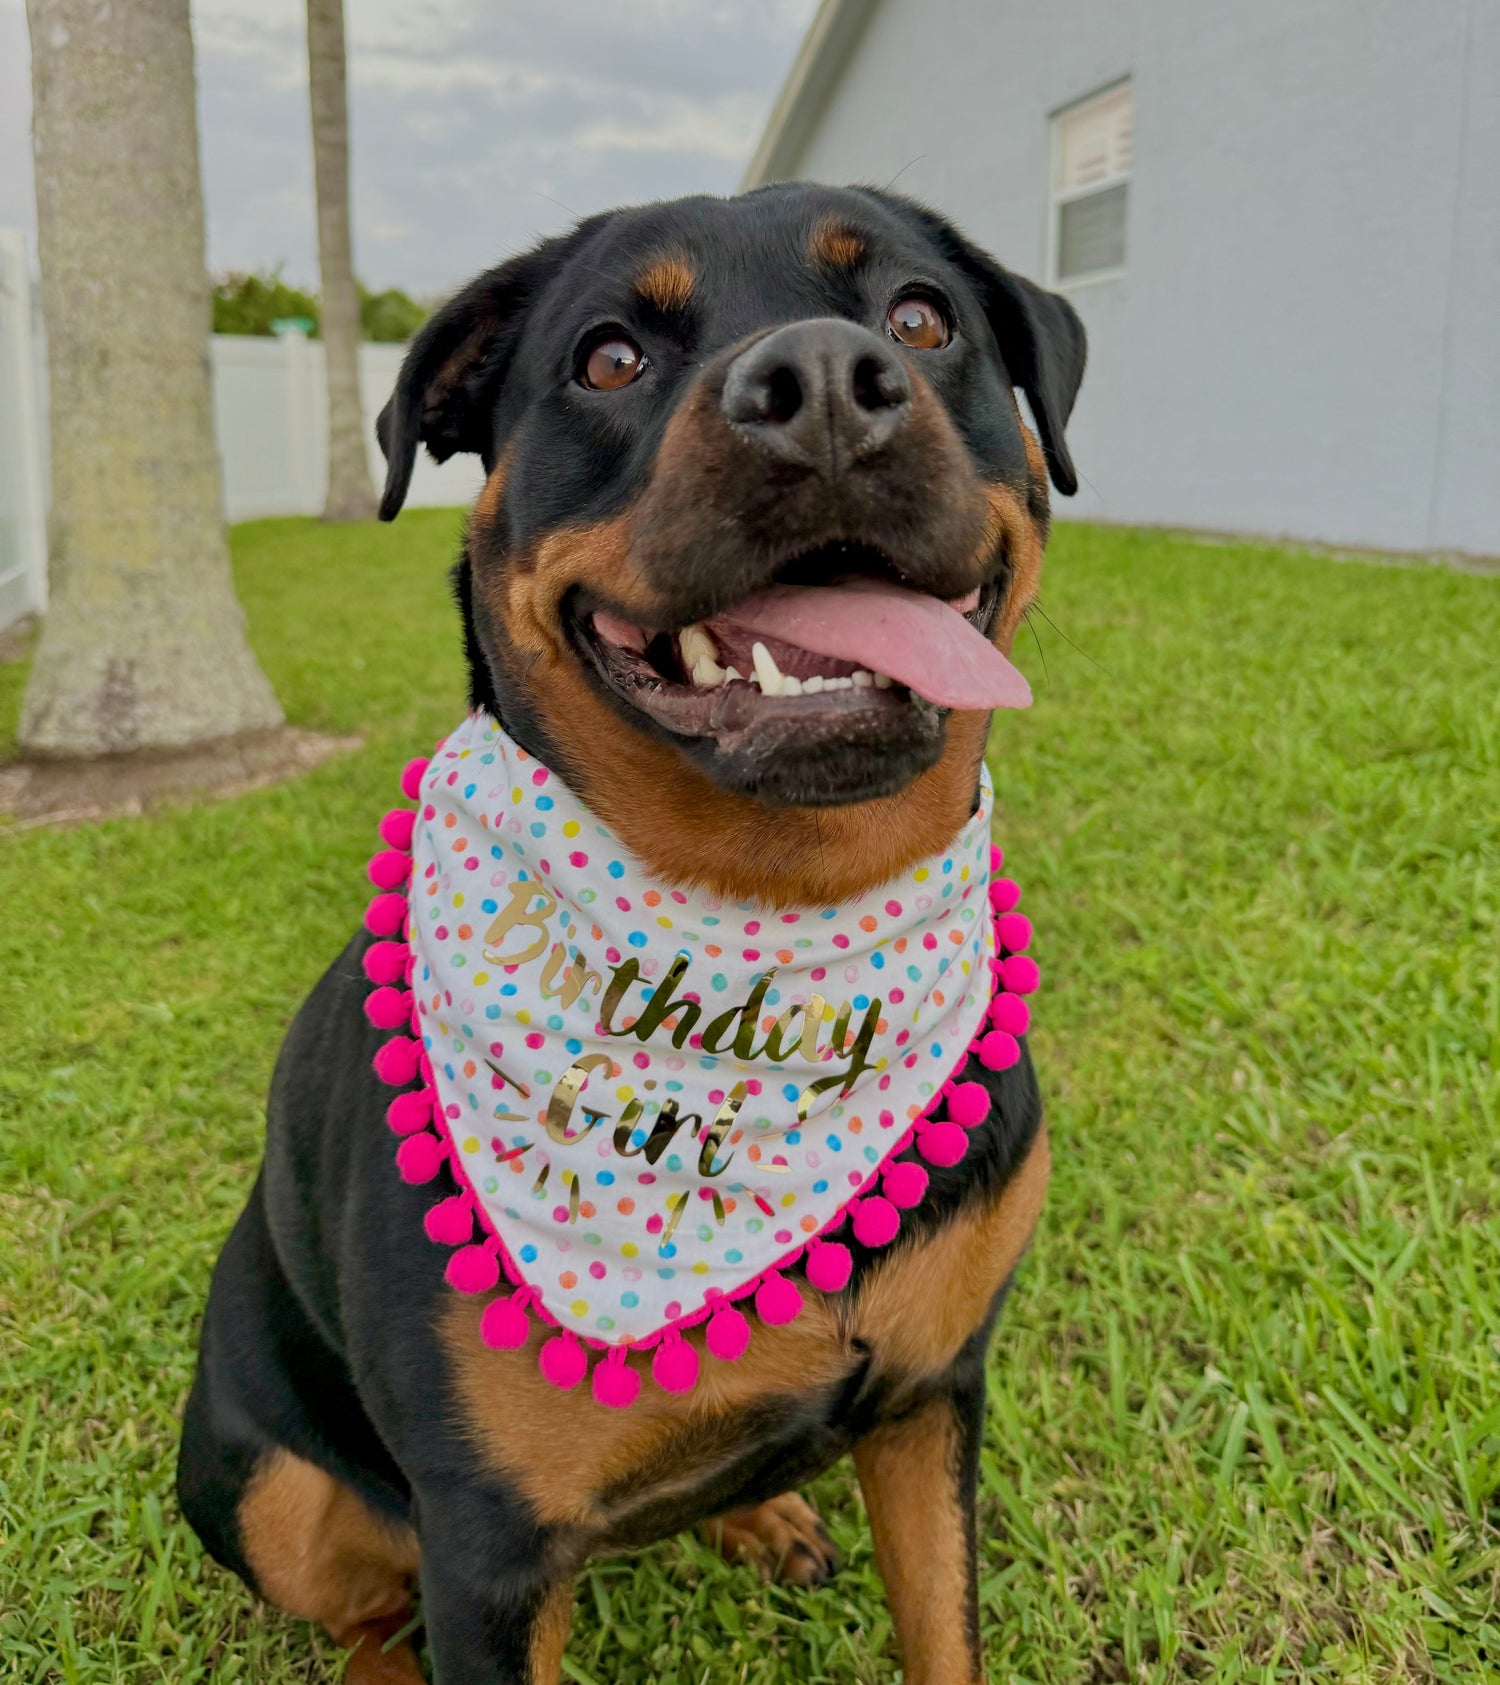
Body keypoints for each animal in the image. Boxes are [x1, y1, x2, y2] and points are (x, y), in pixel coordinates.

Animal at [181, 184, 1078, 1685]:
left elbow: (945, 1630)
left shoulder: (933, 1394)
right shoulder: (487, 1544)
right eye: (608, 358)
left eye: (920, 316)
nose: (823, 382)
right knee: (360, 1607)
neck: (772, 933)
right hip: (264, 1483)